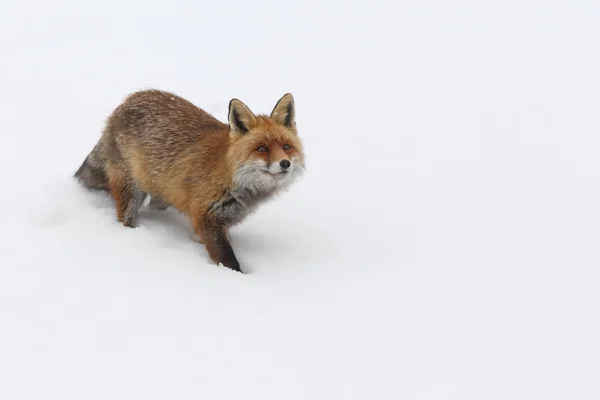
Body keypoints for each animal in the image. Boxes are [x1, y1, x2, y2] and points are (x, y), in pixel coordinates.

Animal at [75, 90, 304, 272]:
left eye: (286, 147)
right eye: (262, 148)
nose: (285, 163)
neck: (233, 179)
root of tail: (127, 100)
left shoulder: (218, 220)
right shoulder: (206, 216)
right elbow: (227, 259)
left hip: (163, 191)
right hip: (130, 191)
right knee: (125, 217)